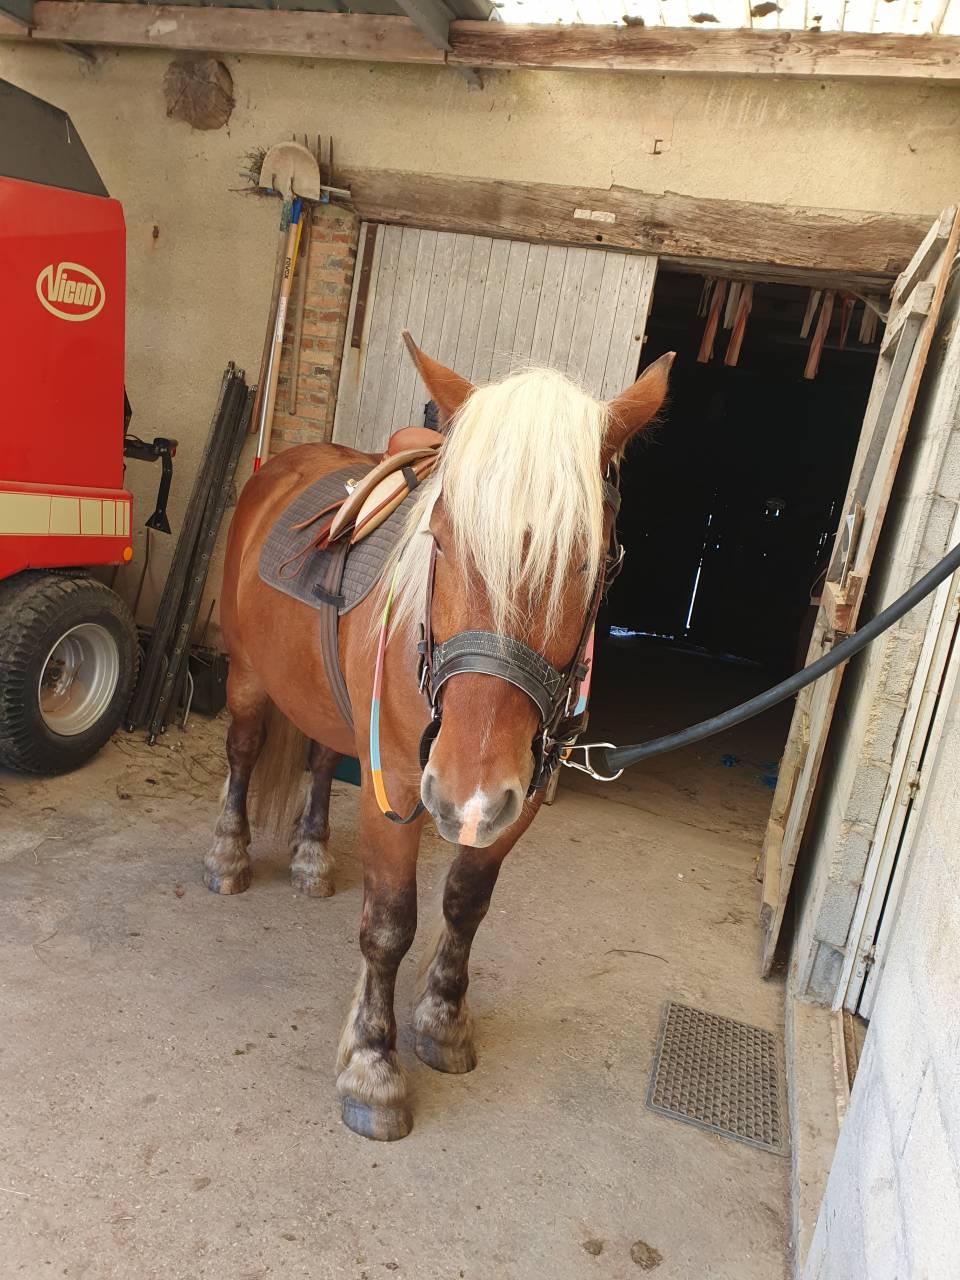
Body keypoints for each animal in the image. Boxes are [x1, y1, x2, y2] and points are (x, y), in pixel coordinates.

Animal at [204, 334, 673, 1141]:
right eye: (444, 541)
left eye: (593, 558)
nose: (465, 793)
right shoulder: (397, 786)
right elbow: (391, 924)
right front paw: (373, 1068)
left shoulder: (518, 800)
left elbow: (465, 904)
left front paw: (443, 1020)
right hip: (248, 677)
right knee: (242, 750)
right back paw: (230, 855)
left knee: (321, 758)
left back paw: (310, 857)